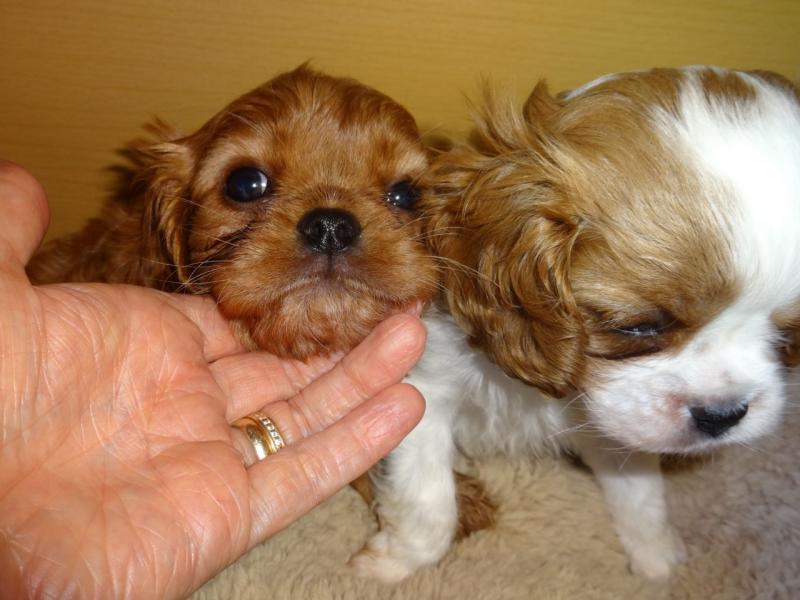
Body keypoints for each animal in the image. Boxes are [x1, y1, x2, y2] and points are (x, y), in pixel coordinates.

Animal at [354, 65, 800, 580]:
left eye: (787, 335)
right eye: (638, 326)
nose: (722, 414)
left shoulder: (620, 418)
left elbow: (640, 490)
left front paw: (656, 556)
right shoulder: (424, 390)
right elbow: (429, 502)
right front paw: (394, 564)